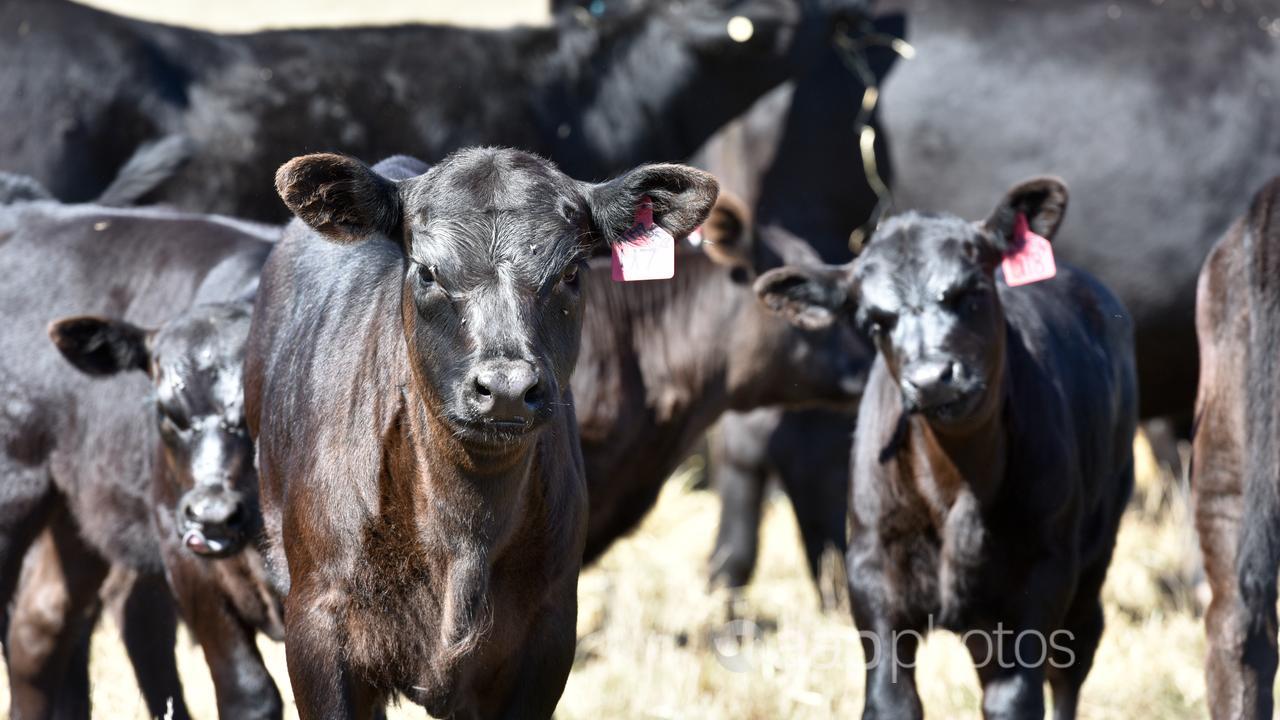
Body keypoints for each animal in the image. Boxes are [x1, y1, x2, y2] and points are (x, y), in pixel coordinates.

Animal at [752, 175, 1136, 717]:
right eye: (874, 321)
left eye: (971, 291)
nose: (932, 379)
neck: (956, 482)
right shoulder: (872, 569)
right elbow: (892, 697)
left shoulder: (1042, 571)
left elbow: (1014, 696)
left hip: (1095, 549)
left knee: (1075, 658)